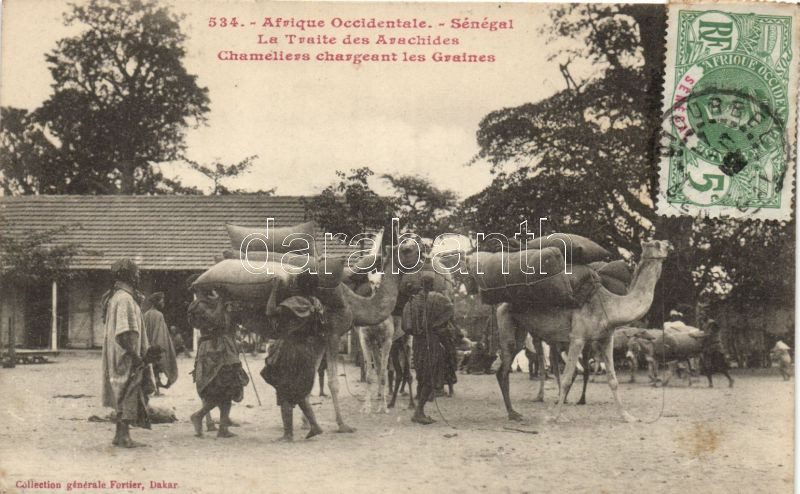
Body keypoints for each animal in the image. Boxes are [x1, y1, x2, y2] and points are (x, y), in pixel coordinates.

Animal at [494, 239, 668, 420]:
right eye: (658, 244)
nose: (668, 243)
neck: (609, 305)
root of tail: (502, 304)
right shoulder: (577, 338)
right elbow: (567, 378)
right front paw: (554, 416)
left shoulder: (606, 338)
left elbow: (613, 380)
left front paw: (627, 416)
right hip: (505, 319)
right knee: (505, 367)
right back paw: (513, 413)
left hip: (520, 328)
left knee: (508, 362)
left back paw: (514, 412)